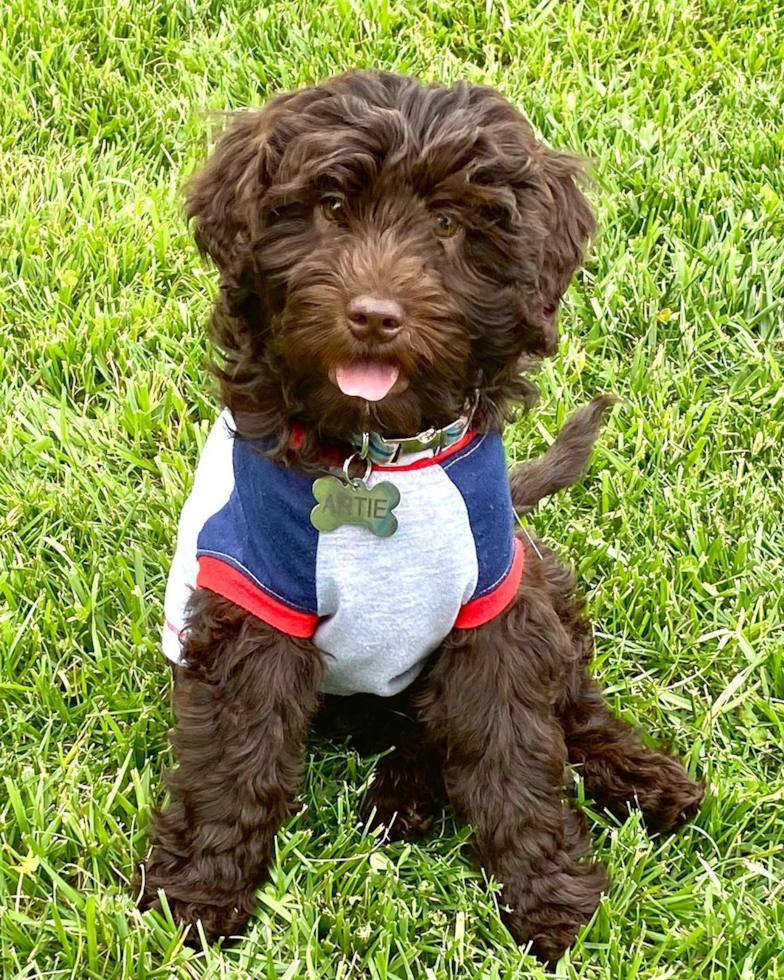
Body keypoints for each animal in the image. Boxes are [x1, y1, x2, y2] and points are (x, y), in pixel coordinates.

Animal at [141, 71, 704, 964]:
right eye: (332, 206)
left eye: (448, 224)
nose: (374, 315)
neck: (377, 455)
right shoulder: (253, 606)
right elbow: (234, 756)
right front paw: (199, 889)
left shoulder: (494, 612)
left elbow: (516, 753)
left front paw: (550, 900)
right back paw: (404, 798)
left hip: (536, 576)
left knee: (574, 707)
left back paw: (644, 779)